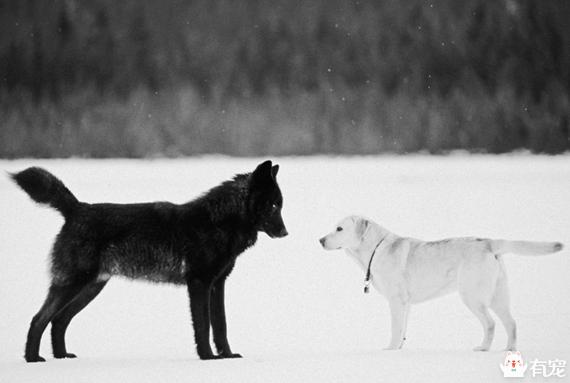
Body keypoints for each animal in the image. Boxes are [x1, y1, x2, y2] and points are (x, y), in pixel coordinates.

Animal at [12, 161, 288, 364]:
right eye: (274, 205)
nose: (286, 233)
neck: (217, 222)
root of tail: (77, 208)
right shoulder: (199, 284)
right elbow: (203, 325)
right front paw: (207, 358)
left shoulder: (217, 284)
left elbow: (221, 325)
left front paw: (227, 356)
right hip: (73, 284)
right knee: (39, 319)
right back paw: (33, 359)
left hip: (91, 288)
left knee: (58, 320)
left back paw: (61, 357)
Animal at [318, 216, 560, 352]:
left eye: (339, 229)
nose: (320, 239)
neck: (375, 249)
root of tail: (489, 242)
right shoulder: (406, 304)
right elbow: (403, 329)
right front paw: (399, 349)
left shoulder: (396, 301)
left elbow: (395, 328)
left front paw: (389, 350)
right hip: (498, 296)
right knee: (511, 323)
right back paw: (509, 350)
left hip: (472, 297)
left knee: (490, 324)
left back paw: (483, 348)